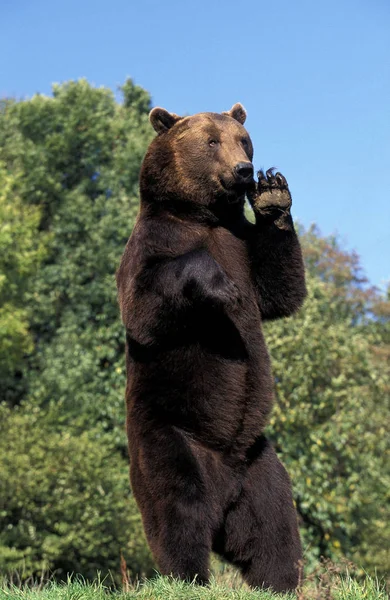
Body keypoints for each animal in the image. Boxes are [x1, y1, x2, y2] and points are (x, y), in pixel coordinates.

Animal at [116, 102, 308, 592]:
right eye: (210, 141)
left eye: (244, 140)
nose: (244, 171)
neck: (208, 217)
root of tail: (225, 493)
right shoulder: (152, 246)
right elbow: (146, 304)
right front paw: (220, 287)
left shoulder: (244, 248)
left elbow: (279, 289)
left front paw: (273, 194)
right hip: (170, 436)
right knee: (177, 512)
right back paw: (189, 578)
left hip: (259, 462)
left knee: (274, 525)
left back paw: (281, 583)